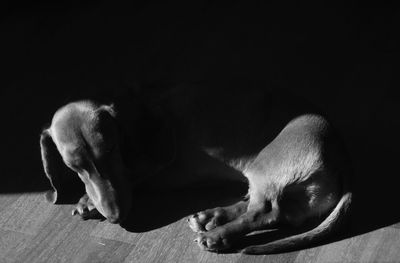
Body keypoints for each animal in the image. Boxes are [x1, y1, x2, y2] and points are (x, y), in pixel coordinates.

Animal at [39, 88, 350, 256]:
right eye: (73, 166)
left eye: (112, 148)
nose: (115, 216)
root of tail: (341, 155)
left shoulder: (156, 161)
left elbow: (131, 176)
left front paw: (87, 201)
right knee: (268, 210)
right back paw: (210, 218)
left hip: (264, 167)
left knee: (265, 211)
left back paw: (218, 235)